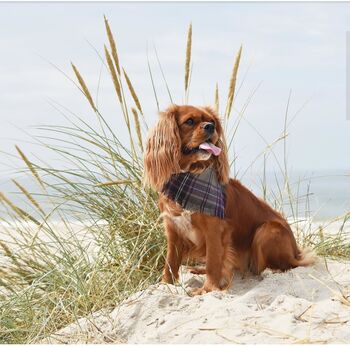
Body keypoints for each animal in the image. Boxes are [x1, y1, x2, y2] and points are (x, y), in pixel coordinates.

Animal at [144, 104, 314, 294]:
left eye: (212, 121)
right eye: (190, 121)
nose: (210, 127)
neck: (189, 176)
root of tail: (296, 251)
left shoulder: (214, 229)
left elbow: (213, 261)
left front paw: (207, 289)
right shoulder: (173, 228)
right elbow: (170, 262)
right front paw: (164, 285)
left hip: (267, 230)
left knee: (281, 265)